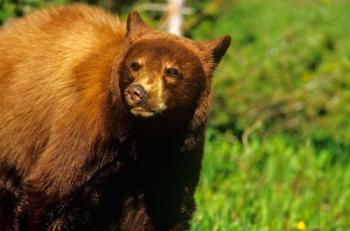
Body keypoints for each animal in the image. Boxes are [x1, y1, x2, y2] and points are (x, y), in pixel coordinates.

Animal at [0, 4, 230, 231]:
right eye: (135, 65)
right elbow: (51, 190)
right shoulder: (86, 130)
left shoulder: (179, 150)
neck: (143, 135)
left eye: (172, 71)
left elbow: (167, 210)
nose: (137, 92)